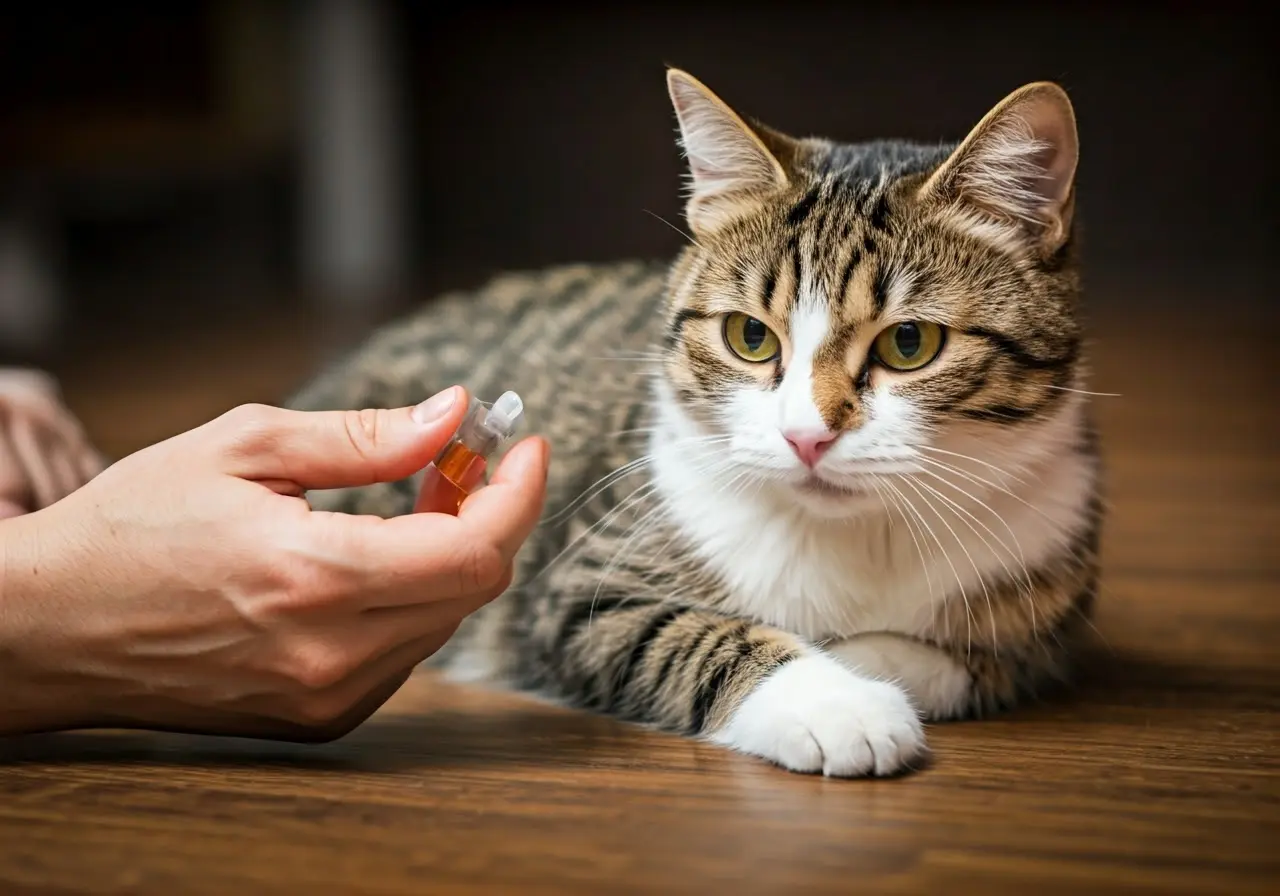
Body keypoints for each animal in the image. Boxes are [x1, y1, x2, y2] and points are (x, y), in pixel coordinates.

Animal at [288, 70, 1100, 778]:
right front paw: (833, 702)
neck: (853, 535)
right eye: (750, 336)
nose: (807, 436)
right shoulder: (584, 585)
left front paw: (860, 663)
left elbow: (969, 658)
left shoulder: (1046, 595)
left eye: (909, 344)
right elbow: (689, 636)